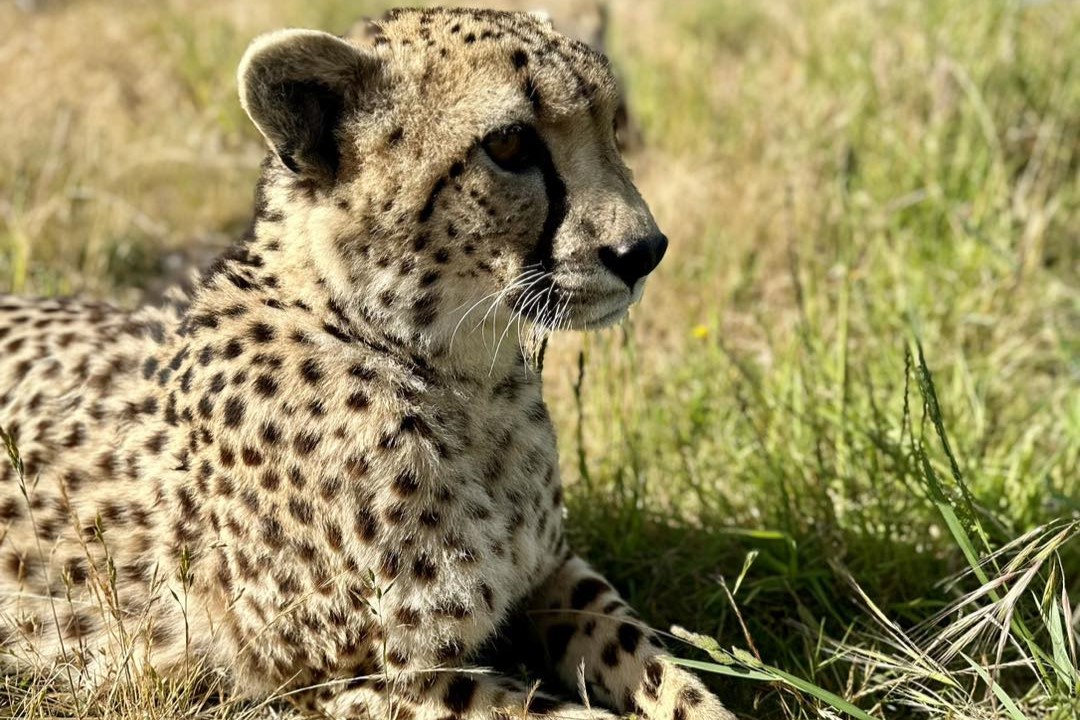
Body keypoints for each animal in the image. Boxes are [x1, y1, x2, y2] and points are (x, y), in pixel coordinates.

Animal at [0, 9, 734, 720]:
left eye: (611, 123)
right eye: (509, 146)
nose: (644, 250)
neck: (459, 373)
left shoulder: (553, 572)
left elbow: (660, 665)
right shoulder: (349, 677)